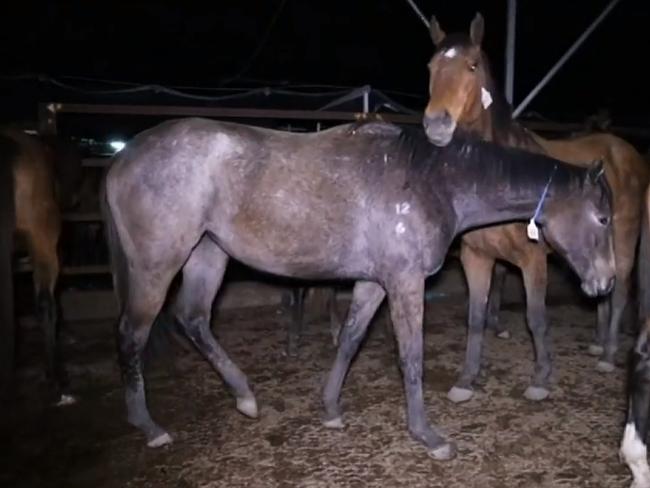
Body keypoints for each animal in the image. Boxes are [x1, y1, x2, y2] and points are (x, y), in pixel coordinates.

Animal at [101, 116, 612, 460]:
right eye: (603, 217)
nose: (604, 282)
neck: (434, 179)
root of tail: (121, 158)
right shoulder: (405, 282)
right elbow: (411, 357)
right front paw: (428, 436)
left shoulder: (373, 282)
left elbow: (349, 340)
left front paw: (330, 408)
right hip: (156, 265)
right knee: (131, 334)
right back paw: (150, 426)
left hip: (208, 253)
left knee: (193, 319)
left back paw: (245, 397)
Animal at [418, 13, 644, 402]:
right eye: (431, 66)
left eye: (472, 65)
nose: (436, 124)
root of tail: (628, 152)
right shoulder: (476, 258)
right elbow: (475, 318)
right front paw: (466, 380)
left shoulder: (532, 259)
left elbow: (536, 318)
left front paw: (540, 379)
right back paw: (598, 344)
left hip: (624, 241)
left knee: (619, 293)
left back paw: (609, 355)